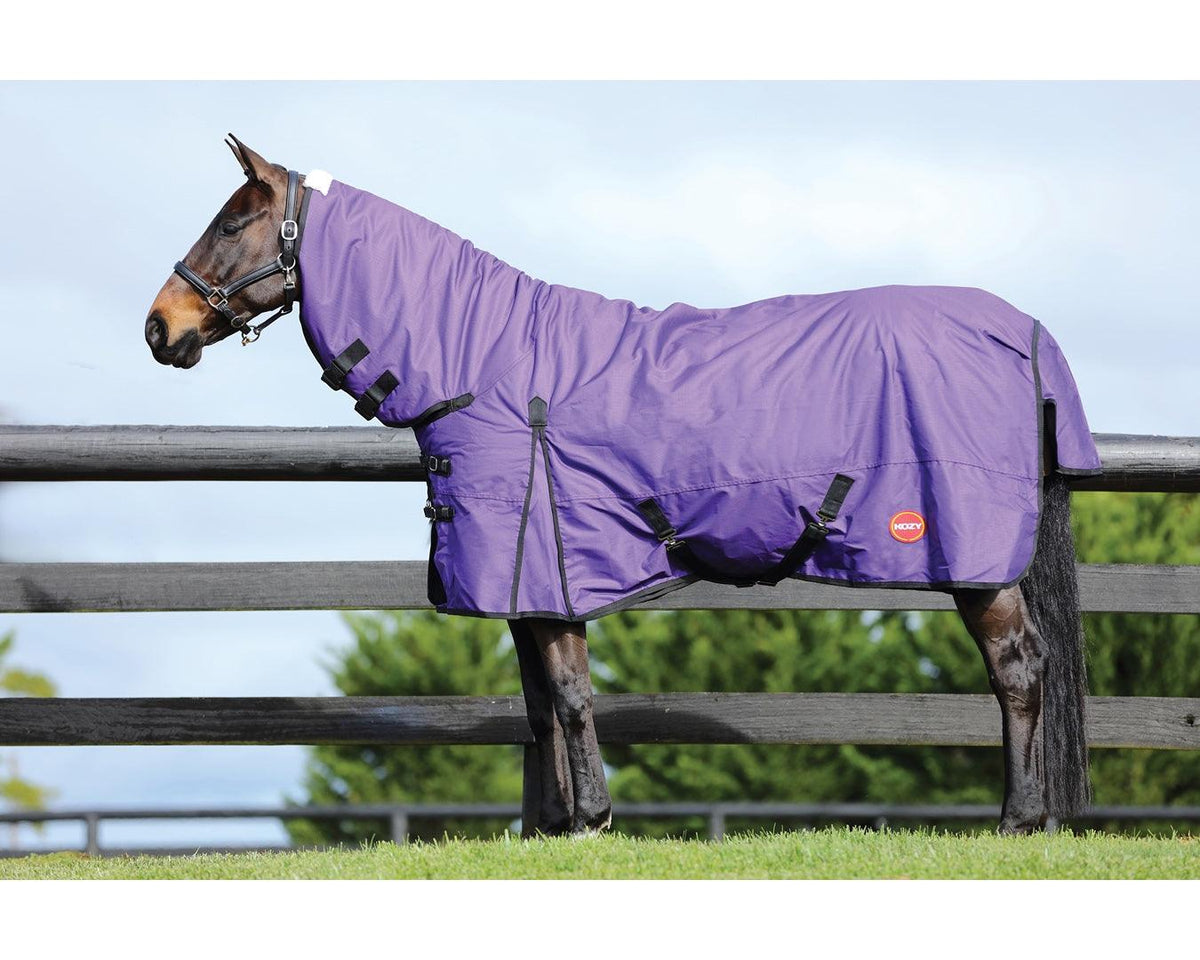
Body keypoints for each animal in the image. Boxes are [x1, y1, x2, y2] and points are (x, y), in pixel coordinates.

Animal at [146, 135, 1098, 836]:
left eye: (230, 223)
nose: (161, 327)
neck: (484, 364)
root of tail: (1025, 331)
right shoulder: (528, 580)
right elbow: (539, 706)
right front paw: (558, 825)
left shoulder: (547, 565)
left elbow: (569, 695)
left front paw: (595, 818)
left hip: (974, 562)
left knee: (1018, 667)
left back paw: (1018, 819)